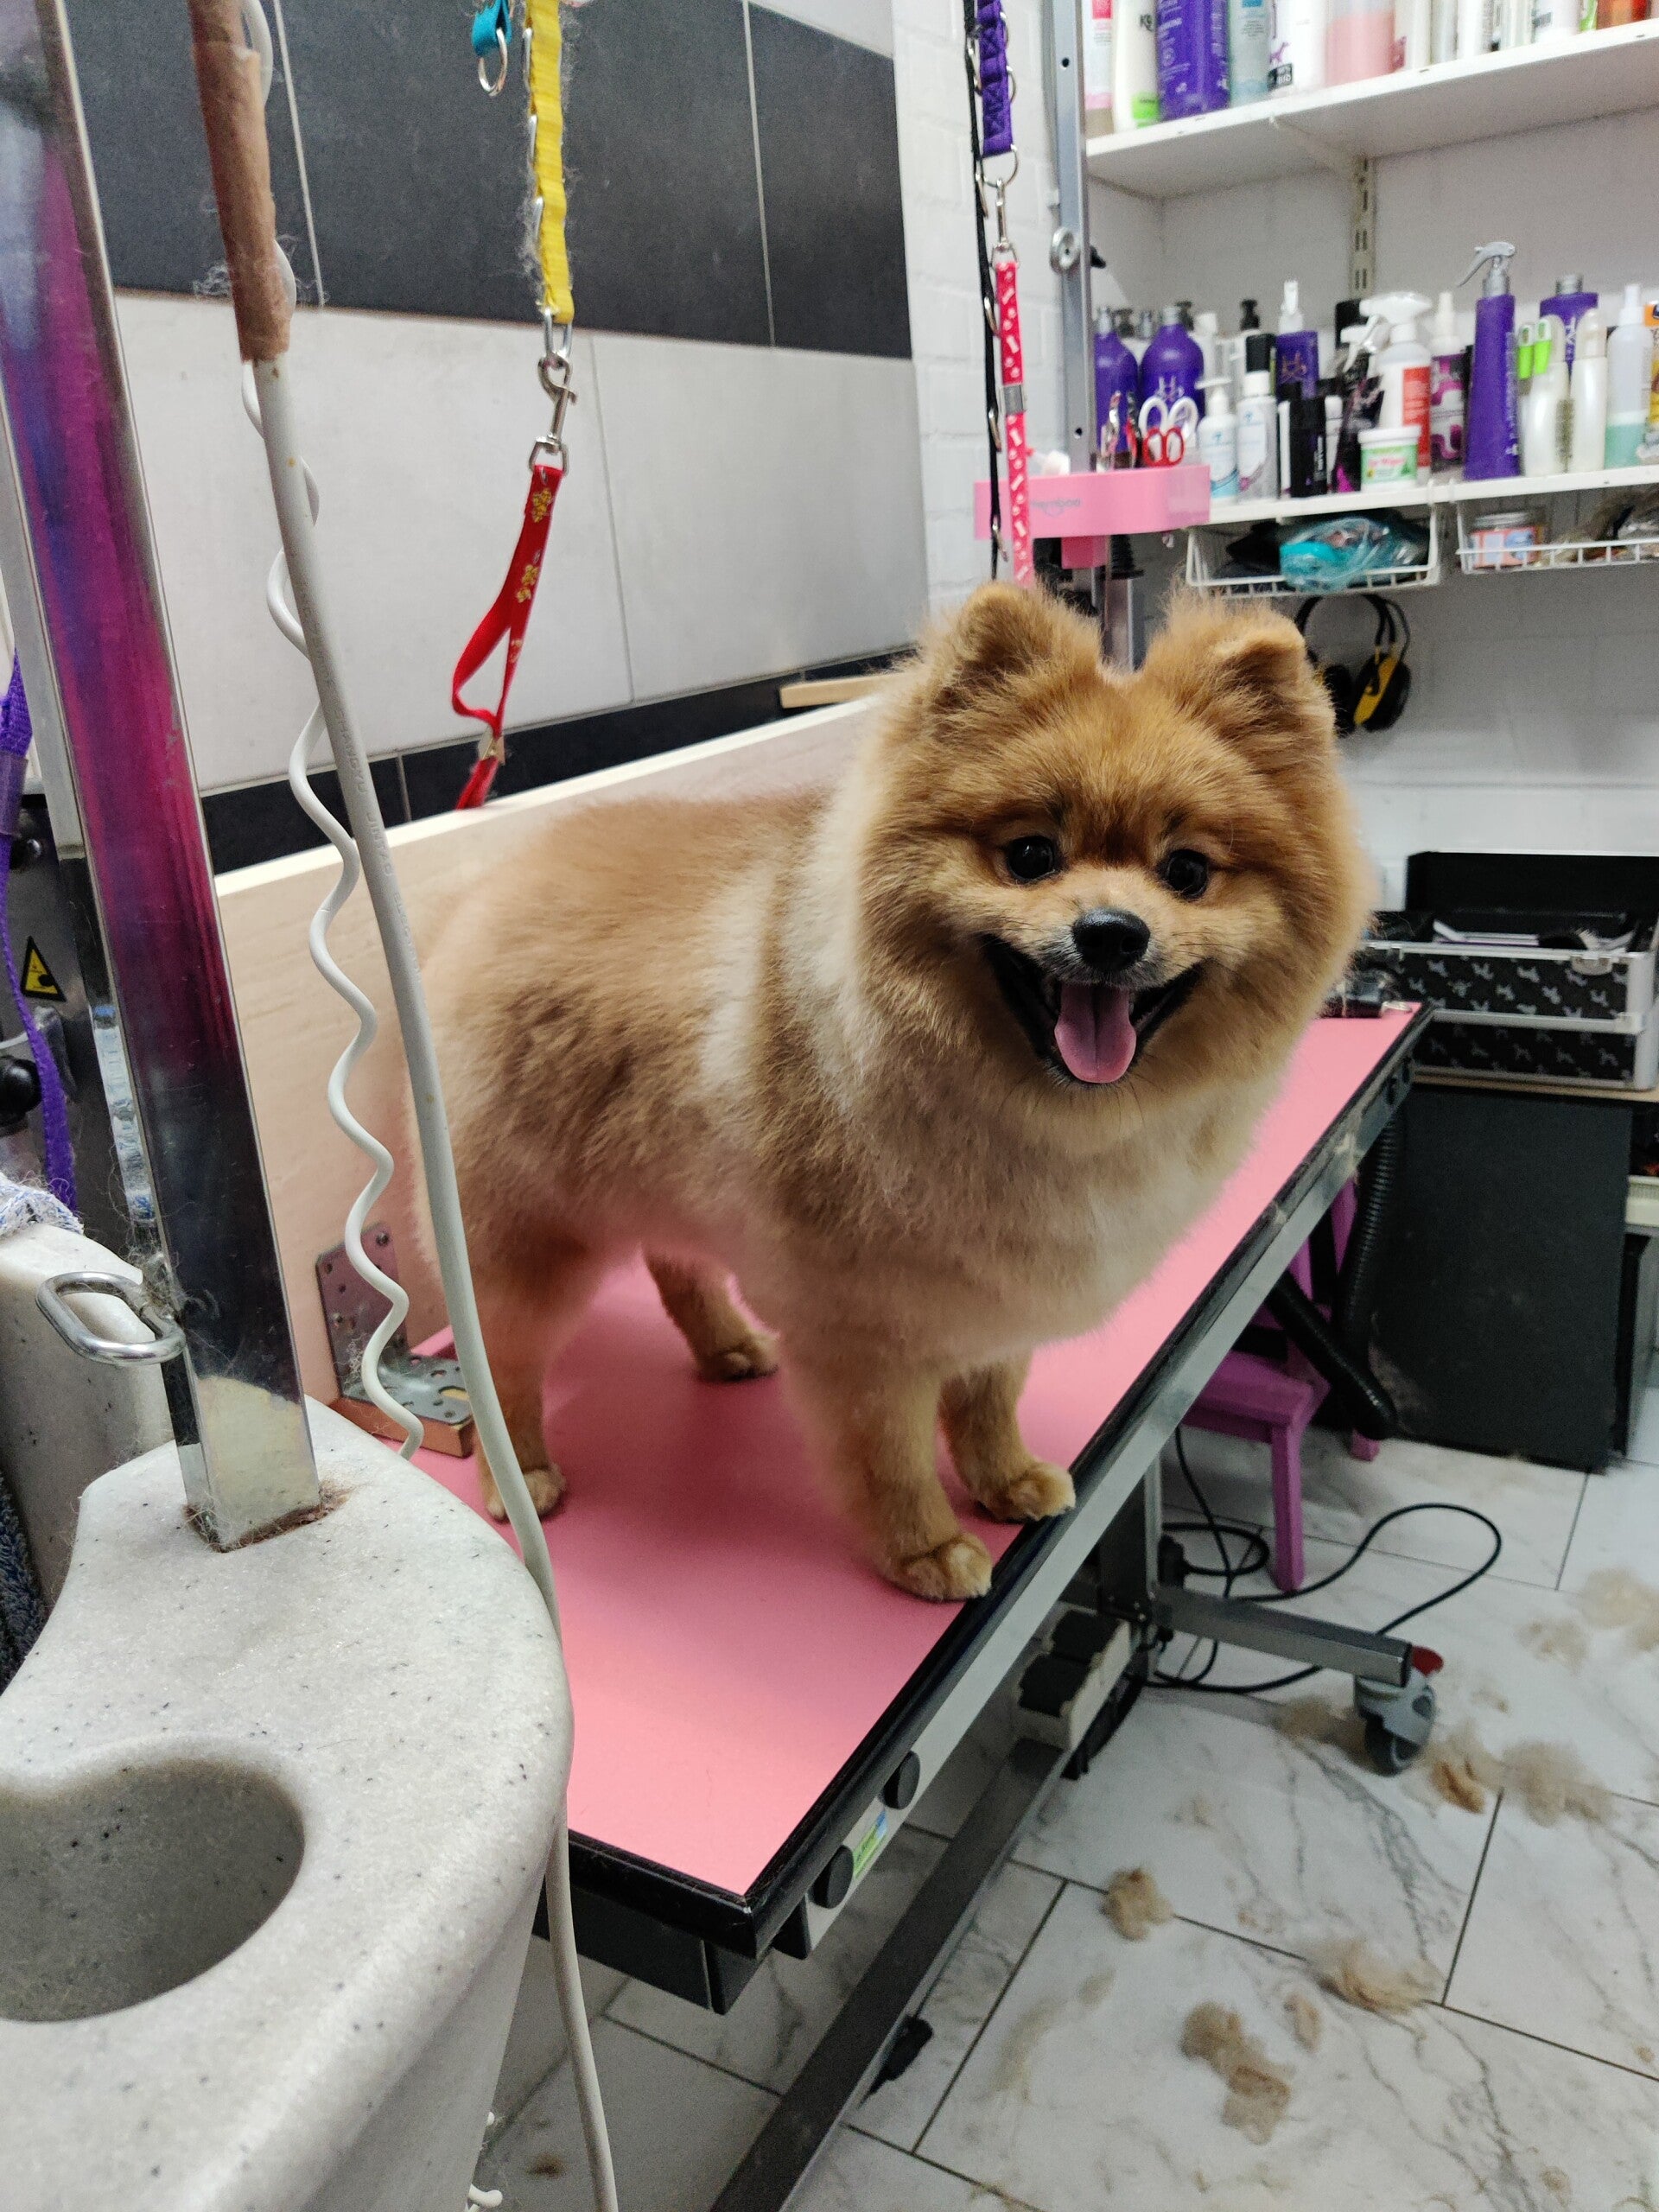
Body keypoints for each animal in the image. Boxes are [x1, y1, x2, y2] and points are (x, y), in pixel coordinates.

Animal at [421, 585, 1373, 1601]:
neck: (1031, 1109)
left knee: (676, 1264)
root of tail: (481, 892)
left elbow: (991, 1399)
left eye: (1187, 872)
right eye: (1031, 855)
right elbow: (892, 1454)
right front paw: (923, 1547)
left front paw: (1005, 1478)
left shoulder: (998, 1288)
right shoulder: (866, 1329)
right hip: (526, 1239)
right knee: (504, 1362)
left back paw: (726, 1346)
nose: (1113, 932)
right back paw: (520, 1473)